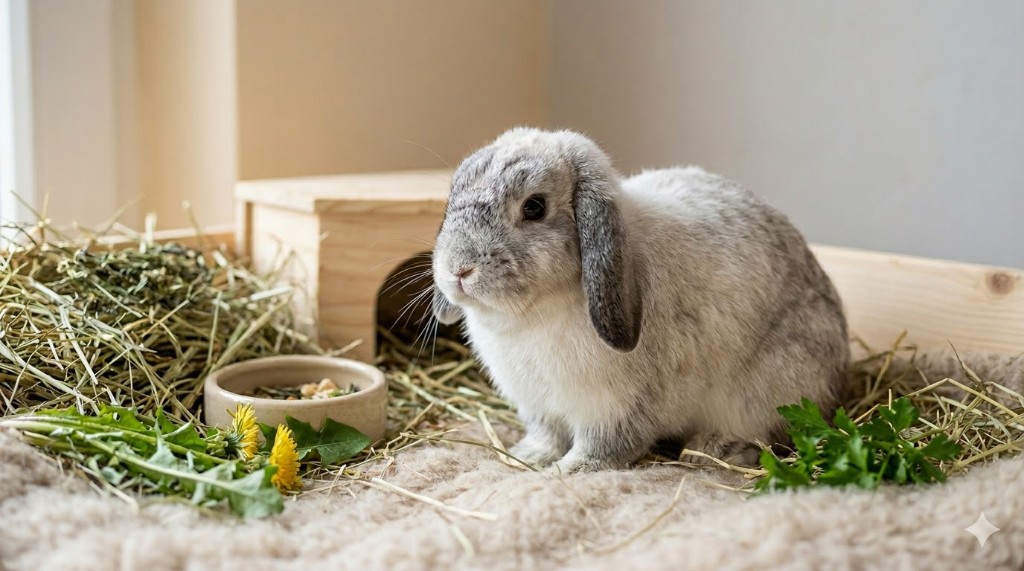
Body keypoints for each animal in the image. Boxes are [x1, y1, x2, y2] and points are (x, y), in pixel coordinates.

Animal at [431, 127, 849, 473]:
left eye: (534, 207)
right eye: (453, 198)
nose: (458, 269)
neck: (532, 315)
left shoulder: (614, 408)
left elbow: (604, 447)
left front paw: (568, 471)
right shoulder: (539, 407)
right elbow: (546, 436)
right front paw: (528, 457)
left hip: (765, 394)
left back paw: (710, 451)